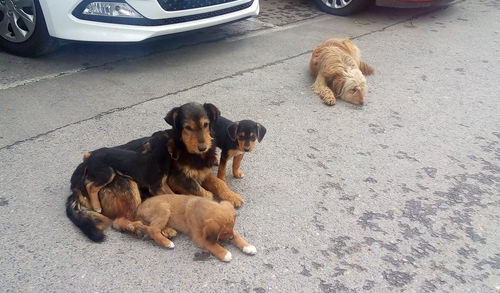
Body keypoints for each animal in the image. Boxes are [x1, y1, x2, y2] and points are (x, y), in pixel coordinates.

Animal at [112, 194, 256, 260]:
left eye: (230, 230)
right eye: (223, 233)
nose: (230, 239)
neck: (201, 207)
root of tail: (139, 207)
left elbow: (238, 235)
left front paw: (247, 246)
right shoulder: (199, 237)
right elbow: (212, 244)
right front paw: (224, 253)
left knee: (150, 226)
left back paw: (168, 230)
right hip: (164, 208)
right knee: (152, 229)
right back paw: (167, 242)